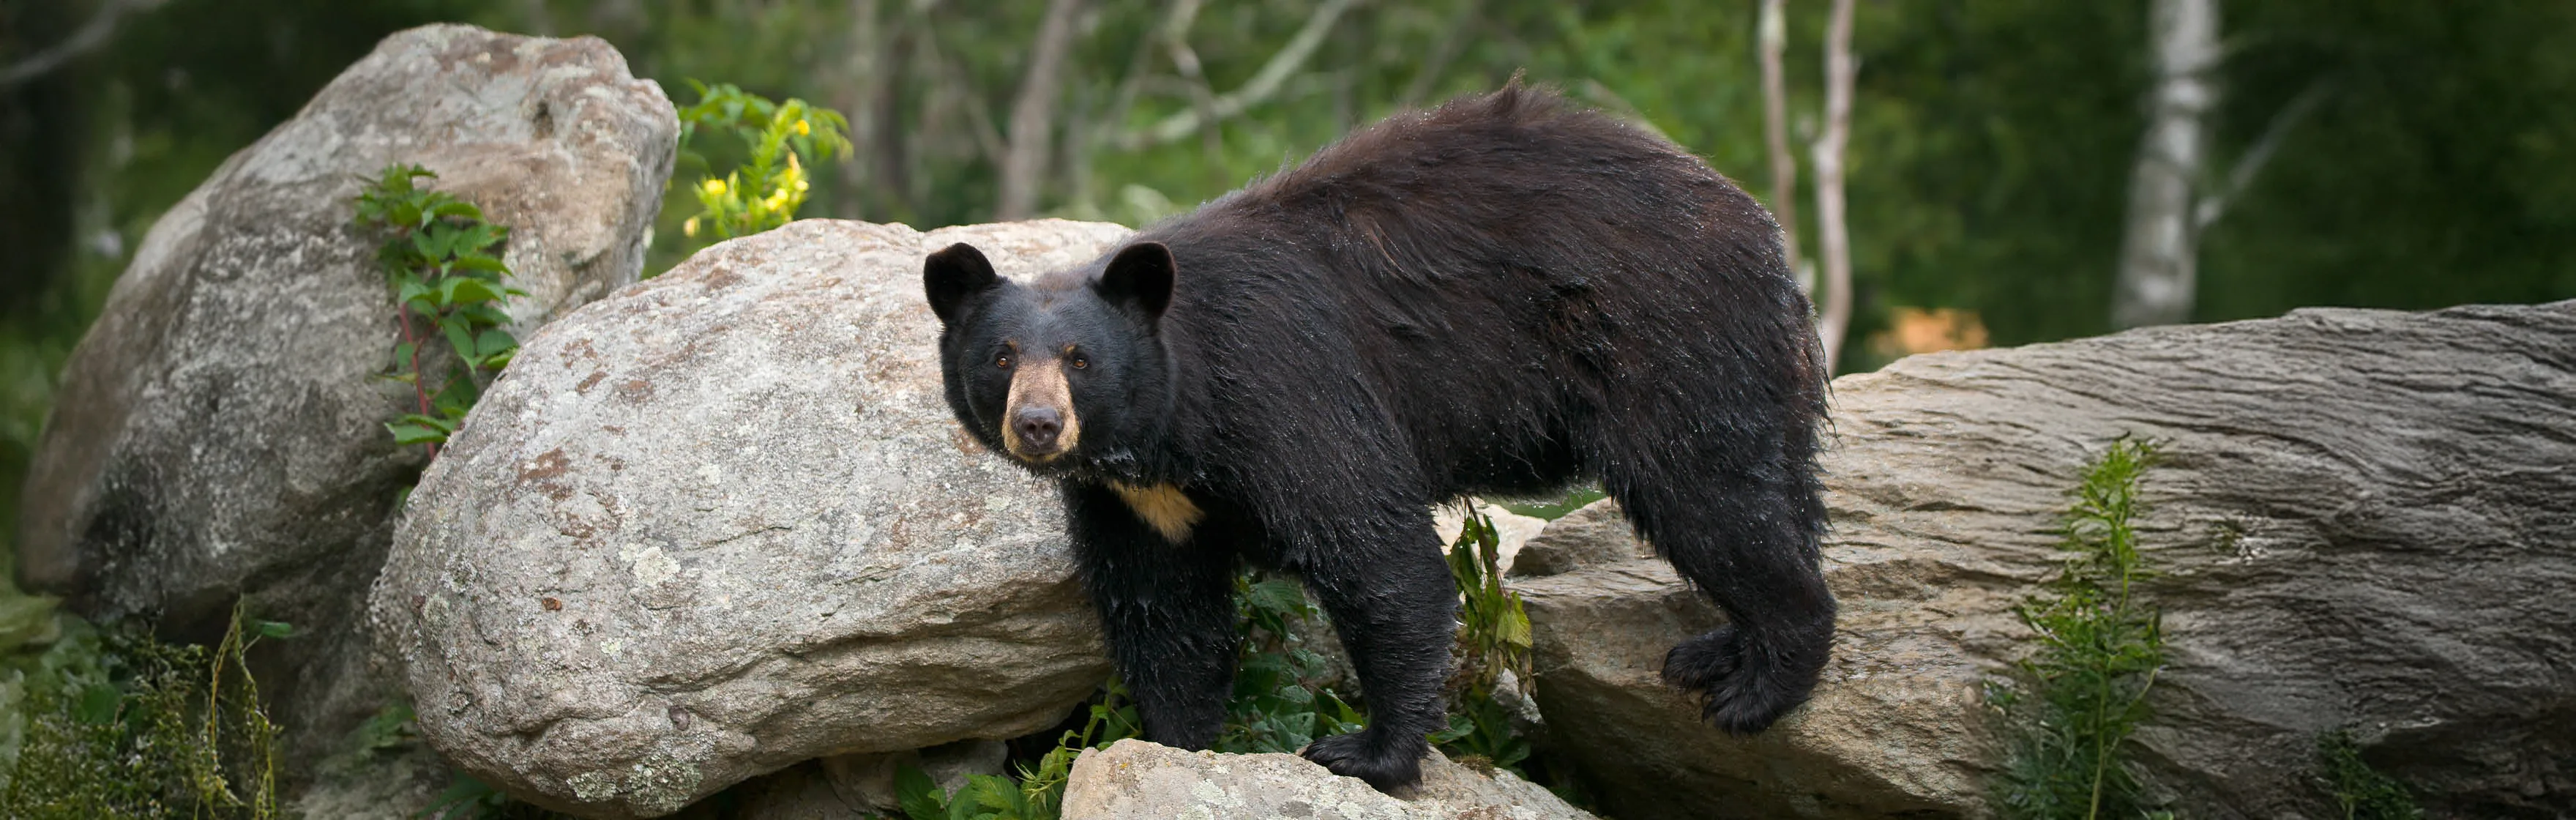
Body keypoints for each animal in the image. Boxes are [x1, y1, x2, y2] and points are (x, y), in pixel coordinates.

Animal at [922, 83, 1833, 791]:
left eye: (1080, 358)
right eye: (1002, 356)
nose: (1038, 425)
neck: (1172, 429)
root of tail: (1764, 233)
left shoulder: (1287, 392)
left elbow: (1376, 554)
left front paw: (1367, 751)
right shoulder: (1135, 501)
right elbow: (1164, 612)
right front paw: (1178, 740)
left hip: (1668, 344)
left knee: (1709, 498)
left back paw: (1757, 684)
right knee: (1773, 490)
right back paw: (1720, 650)